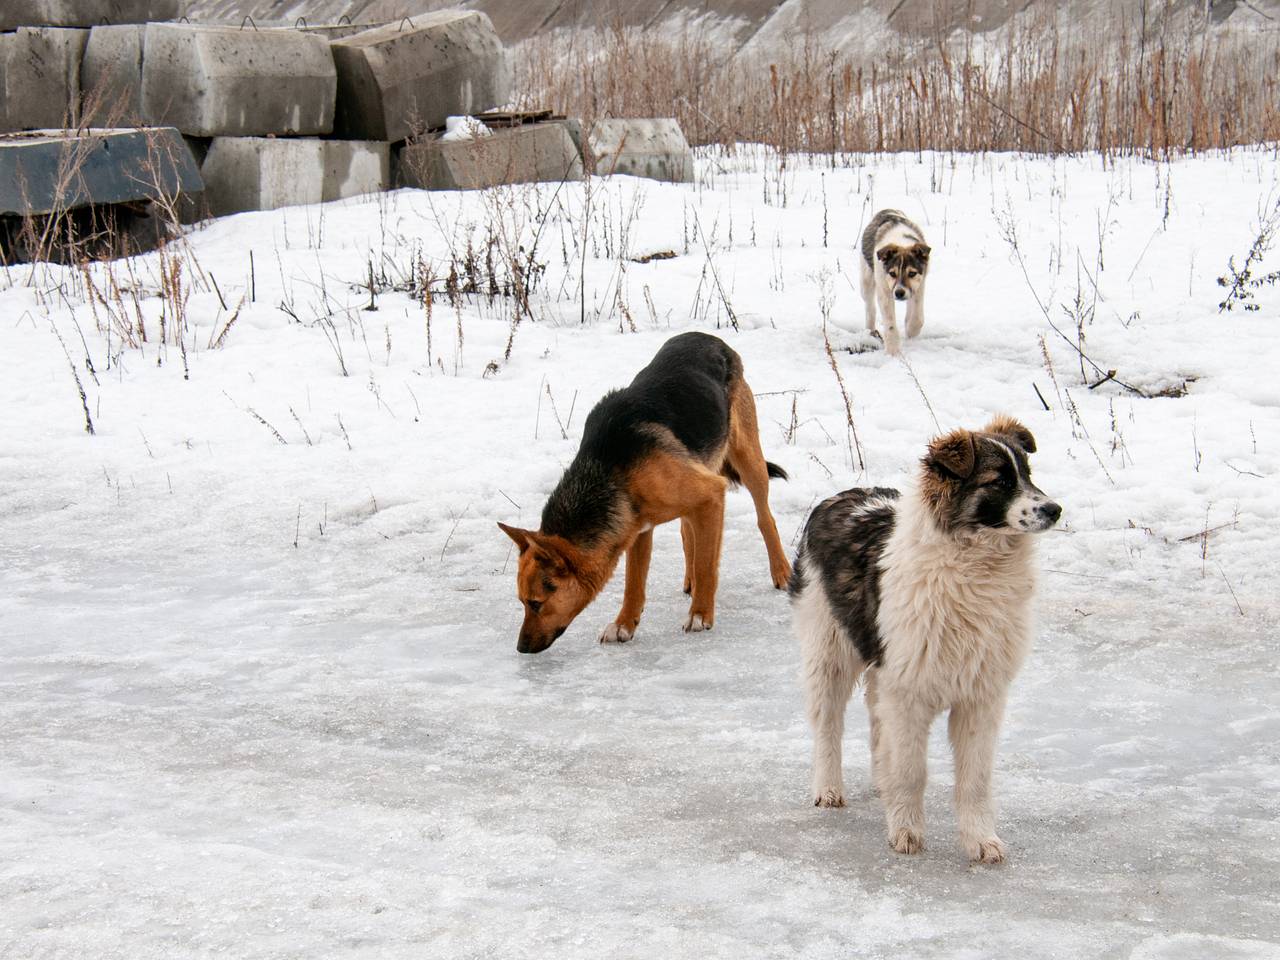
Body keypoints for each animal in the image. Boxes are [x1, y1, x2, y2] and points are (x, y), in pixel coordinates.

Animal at [496, 335, 788, 660]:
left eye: (535, 603)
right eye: (522, 602)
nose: (521, 648)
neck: (609, 469)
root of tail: (709, 338)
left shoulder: (711, 493)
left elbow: (706, 565)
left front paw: (700, 615)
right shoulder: (637, 528)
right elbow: (633, 584)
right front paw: (624, 625)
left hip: (748, 460)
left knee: (765, 518)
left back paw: (781, 572)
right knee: (688, 530)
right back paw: (690, 579)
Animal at [860, 209, 931, 358]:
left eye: (912, 273)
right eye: (892, 273)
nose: (899, 293)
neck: (901, 242)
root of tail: (887, 209)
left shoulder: (919, 286)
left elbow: (917, 317)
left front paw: (911, 330)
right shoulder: (884, 290)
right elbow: (890, 324)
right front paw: (893, 352)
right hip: (866, 280)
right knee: (870, 308)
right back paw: (870, 332)